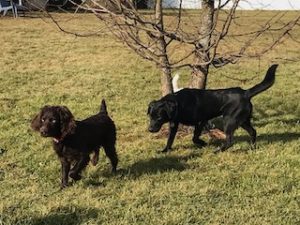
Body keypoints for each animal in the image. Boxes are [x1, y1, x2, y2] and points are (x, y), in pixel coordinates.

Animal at [148, 64, 278, 154]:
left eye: (159, 117)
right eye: (150, 116)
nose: (150, 129)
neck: (179, 102)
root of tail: (245, 93)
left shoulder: (201, 121)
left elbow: (195, 138)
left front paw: (203, 143)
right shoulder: (174, 124)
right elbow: (170, 140)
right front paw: (164, 151)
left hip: (229, 120)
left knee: (230, 140)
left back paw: (218, 151)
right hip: (242, 120)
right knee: (253, 132)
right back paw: (252, 148)